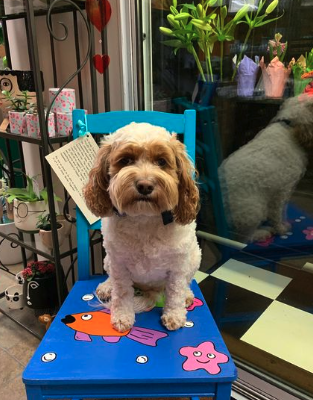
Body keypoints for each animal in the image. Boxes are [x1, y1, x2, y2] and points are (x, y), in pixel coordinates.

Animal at [83, 122, 200, 332]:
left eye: (161, 161)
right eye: (126, 160)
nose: (145, 185)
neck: (144, 218)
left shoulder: (178, 265)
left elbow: (175, 291)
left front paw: (174, 315)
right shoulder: (119, 264)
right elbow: (122, 293)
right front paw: (122, 317)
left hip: (194, 257)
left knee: (184, 284)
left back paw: (187, 295)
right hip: (108, 259)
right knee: (111, 278)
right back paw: (106, 287)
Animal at [218, 95, 312, 242]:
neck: (288, 125)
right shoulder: (283, 190)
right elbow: (279, 213)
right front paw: (282, 229)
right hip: (254, 210)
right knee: (243, 238)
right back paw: (263, 232)